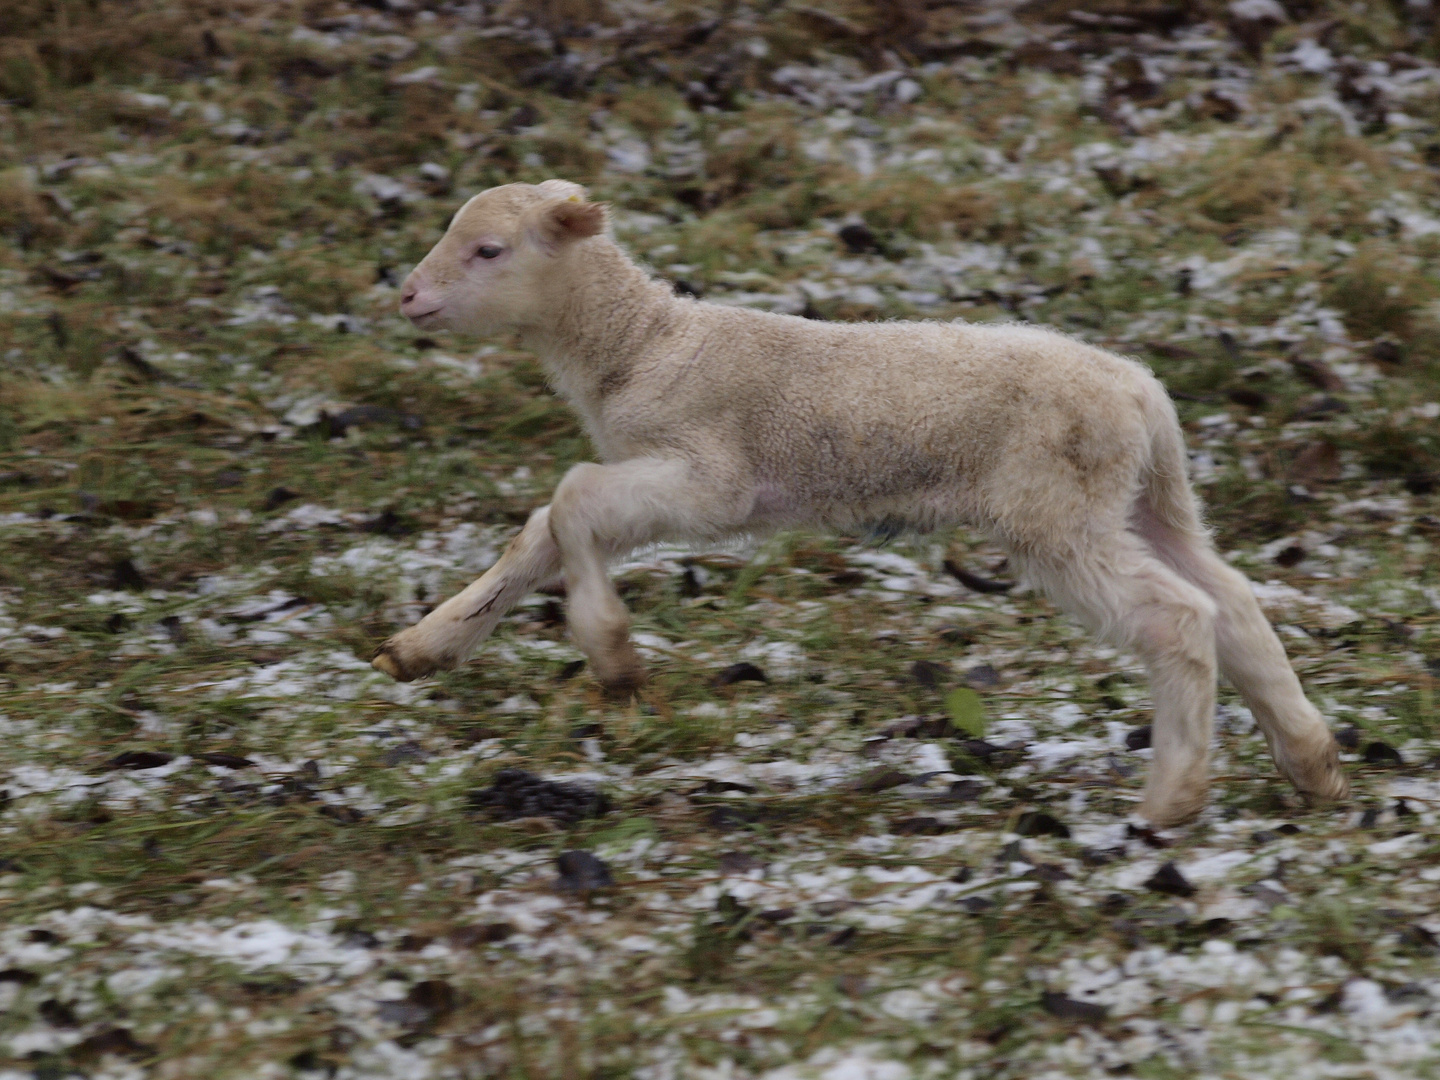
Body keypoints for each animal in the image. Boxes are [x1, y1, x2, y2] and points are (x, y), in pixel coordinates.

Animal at [374, 182, 1347, 835]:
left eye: (489, 251)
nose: (407, 297)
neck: (639, 345)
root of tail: (1145, 395)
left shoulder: (711, 478)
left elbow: (569, 499)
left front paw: (612, 657)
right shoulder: (658, 473)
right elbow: (542, 529)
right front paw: (426, 646)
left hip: (1055, 513)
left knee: (1178, 617)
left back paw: (1172, 798)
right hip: (1143, 503)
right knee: (1233, 603)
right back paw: (1312, 763)